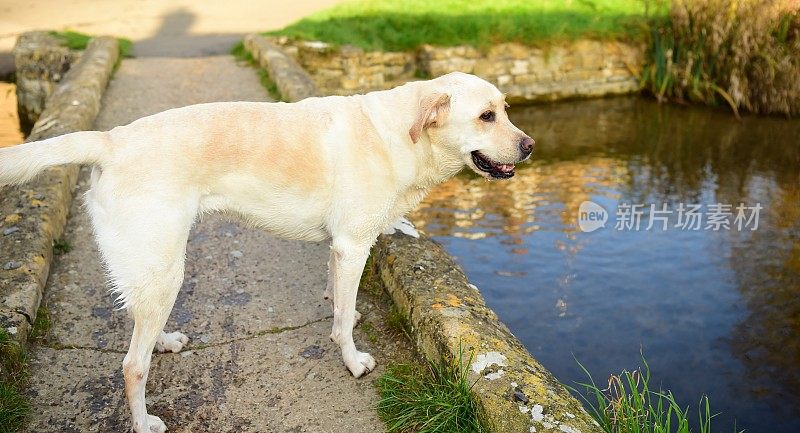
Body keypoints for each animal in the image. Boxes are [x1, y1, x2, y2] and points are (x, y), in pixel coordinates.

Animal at [4, 70, 536, 428]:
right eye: (486, 116)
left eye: (507, 109)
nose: (530, 145)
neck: (400, 137)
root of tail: (111, 140)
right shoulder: (353, 245)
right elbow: (343, 322)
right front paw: (352, 360)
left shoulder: (339, 249)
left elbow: (339, 299)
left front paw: (344, 312)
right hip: (165, 269)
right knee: (132, 367)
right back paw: (143, 421)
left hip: (152, 272)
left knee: (140, 327)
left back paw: (164, 340)